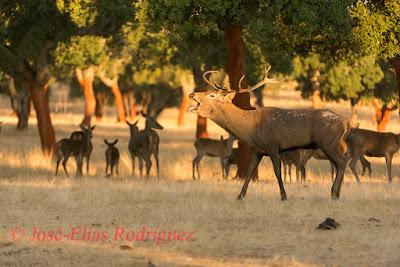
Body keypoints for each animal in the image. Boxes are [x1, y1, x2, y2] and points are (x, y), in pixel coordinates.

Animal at [188, 67, 350, 201]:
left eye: (211, 95)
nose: (192, 93)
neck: (250, 130)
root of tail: (345, 122)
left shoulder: (272, 145)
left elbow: (277, 171)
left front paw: (284, 196)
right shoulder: (257, 150)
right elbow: (249, 171)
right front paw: (240, 196)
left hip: (328, 143)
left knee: (341, 162)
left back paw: (334, 193)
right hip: (332, 145)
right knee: (339, 163)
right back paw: (336, 193)